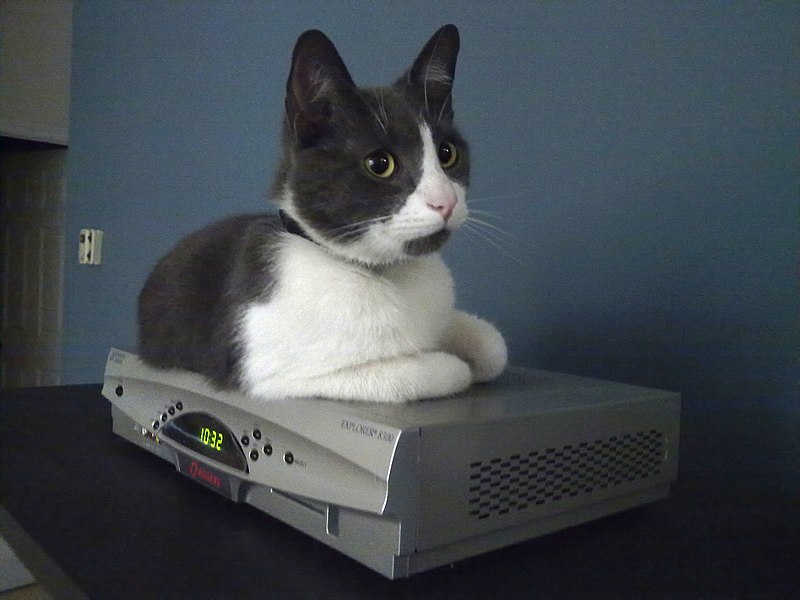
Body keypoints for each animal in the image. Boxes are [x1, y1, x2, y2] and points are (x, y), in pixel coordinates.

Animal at [138, 24, 506, 404]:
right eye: (380, 164)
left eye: (447, 154)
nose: (445, 201)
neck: (386, 274)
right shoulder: (273, 371)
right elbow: (423, 371)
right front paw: (452, 364)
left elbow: (495, 346)